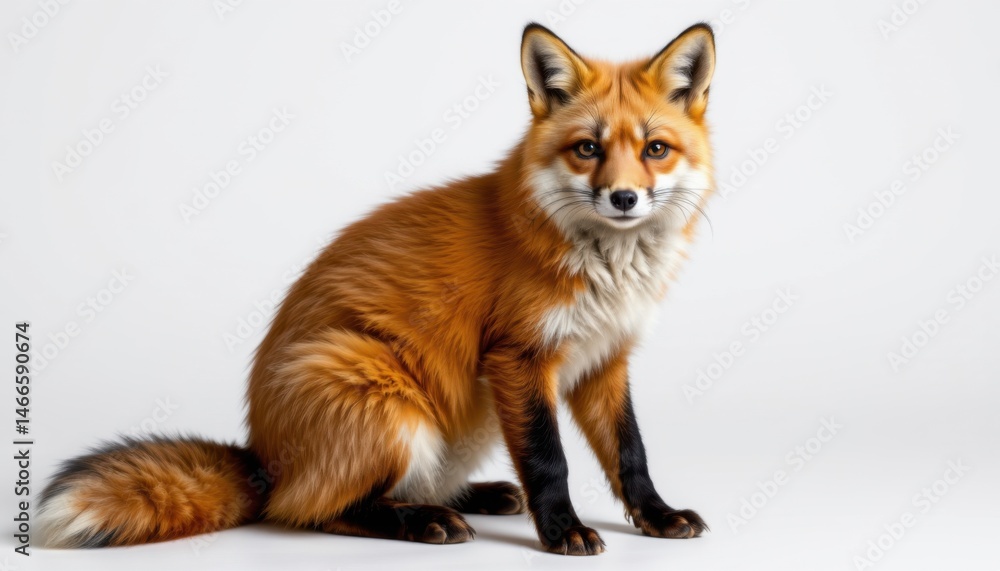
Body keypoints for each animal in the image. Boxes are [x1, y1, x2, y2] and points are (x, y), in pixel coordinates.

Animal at [37, 22, 717, 556]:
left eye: (656, 149)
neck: (608, 268)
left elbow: (631, 453)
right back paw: (421, 522)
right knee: (311, 510)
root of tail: (262, 457)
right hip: (382, 396)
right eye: (587, 149)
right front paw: (562, 531)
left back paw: (474, 495)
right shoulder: (520, 357)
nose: (623, 198)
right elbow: (550, 460)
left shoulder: (605, 358)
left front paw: (657, 517)